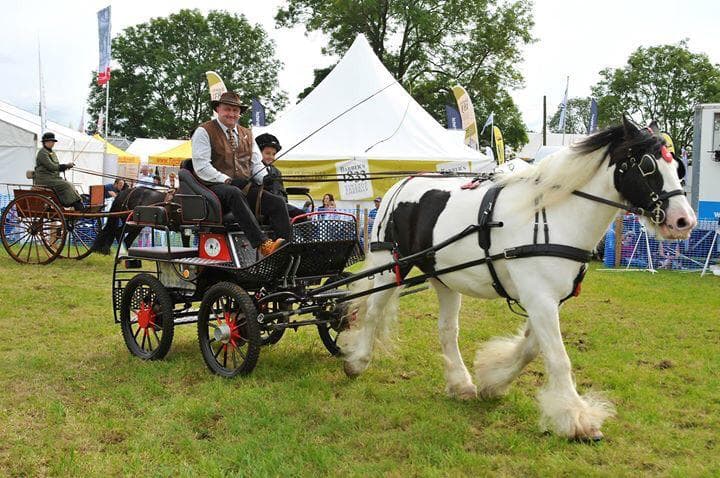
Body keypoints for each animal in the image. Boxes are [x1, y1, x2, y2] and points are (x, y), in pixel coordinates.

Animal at [338, 117, 696, 438]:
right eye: (648, 165)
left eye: (679, 167)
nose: (684, 221)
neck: (554, 215)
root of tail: (400, 185)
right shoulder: (540, 299)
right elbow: (558, 357)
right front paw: (576, 419)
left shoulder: (548, 300)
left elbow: (532, 349)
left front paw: (493, 380)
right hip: (388, 264)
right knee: (372, 312)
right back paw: (357, 362)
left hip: (443, 277)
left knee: (447, 330)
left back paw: (460, 382)